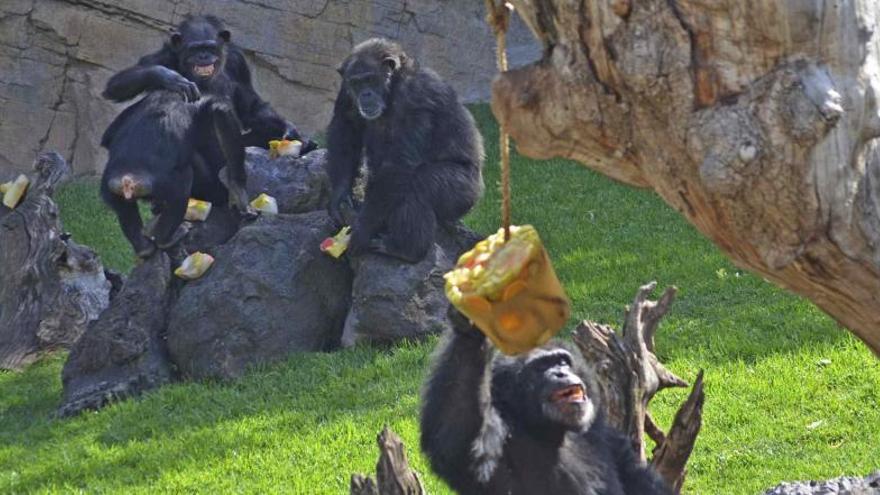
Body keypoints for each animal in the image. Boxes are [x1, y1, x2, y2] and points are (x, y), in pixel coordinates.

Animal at [326, 38, 484, 264]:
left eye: (370, 79)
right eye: (356, 83)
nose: (365, 94)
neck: (393, 86)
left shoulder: (415, 96)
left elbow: (400, 164)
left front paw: (363, 230)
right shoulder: (345, 88)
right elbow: (347, 125)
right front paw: (340, 196)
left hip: (465, 191)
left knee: (418, 184)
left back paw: (404, 250)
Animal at [420, 310, 672, 495]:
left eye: (561, 361)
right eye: (540, 367)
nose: (560, 373)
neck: (549, 430)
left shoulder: (610, 437)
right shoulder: (489, 449)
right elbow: (457, 436)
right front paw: (470, 330)